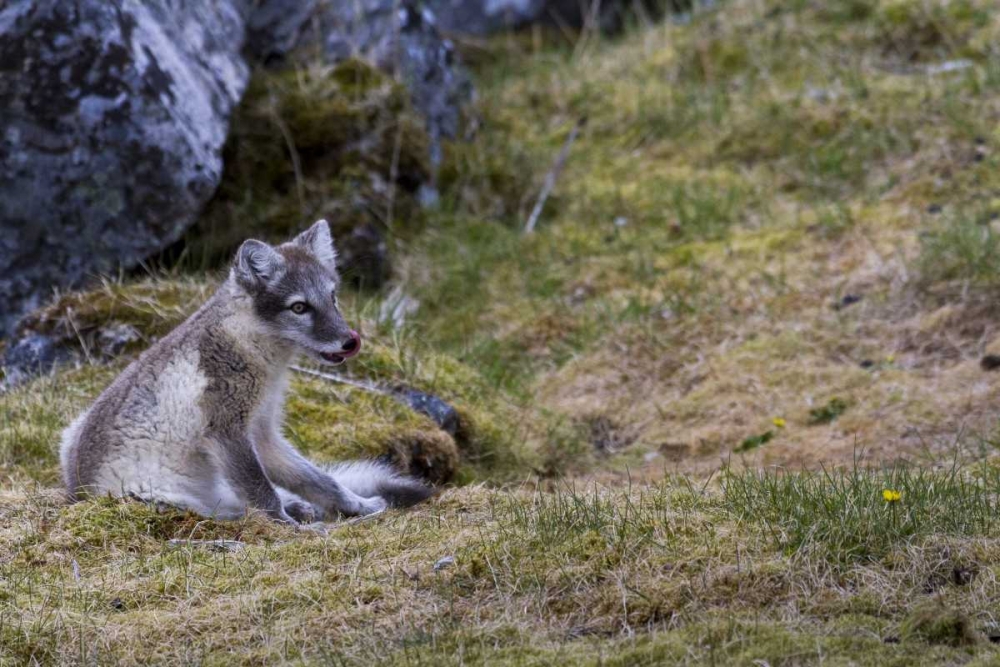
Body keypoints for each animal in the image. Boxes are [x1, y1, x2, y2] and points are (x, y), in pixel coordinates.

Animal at [59, 222, 430, 524]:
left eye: (333, 297)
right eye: (299, 307)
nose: (350, 341)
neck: (249, 346)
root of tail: (78, 496)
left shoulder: (263, 431)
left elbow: (316, 479)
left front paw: (357, 505)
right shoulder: (227, 430)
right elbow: (260, 491)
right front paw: (289, 528)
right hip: (161, 498)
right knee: (226, 511)